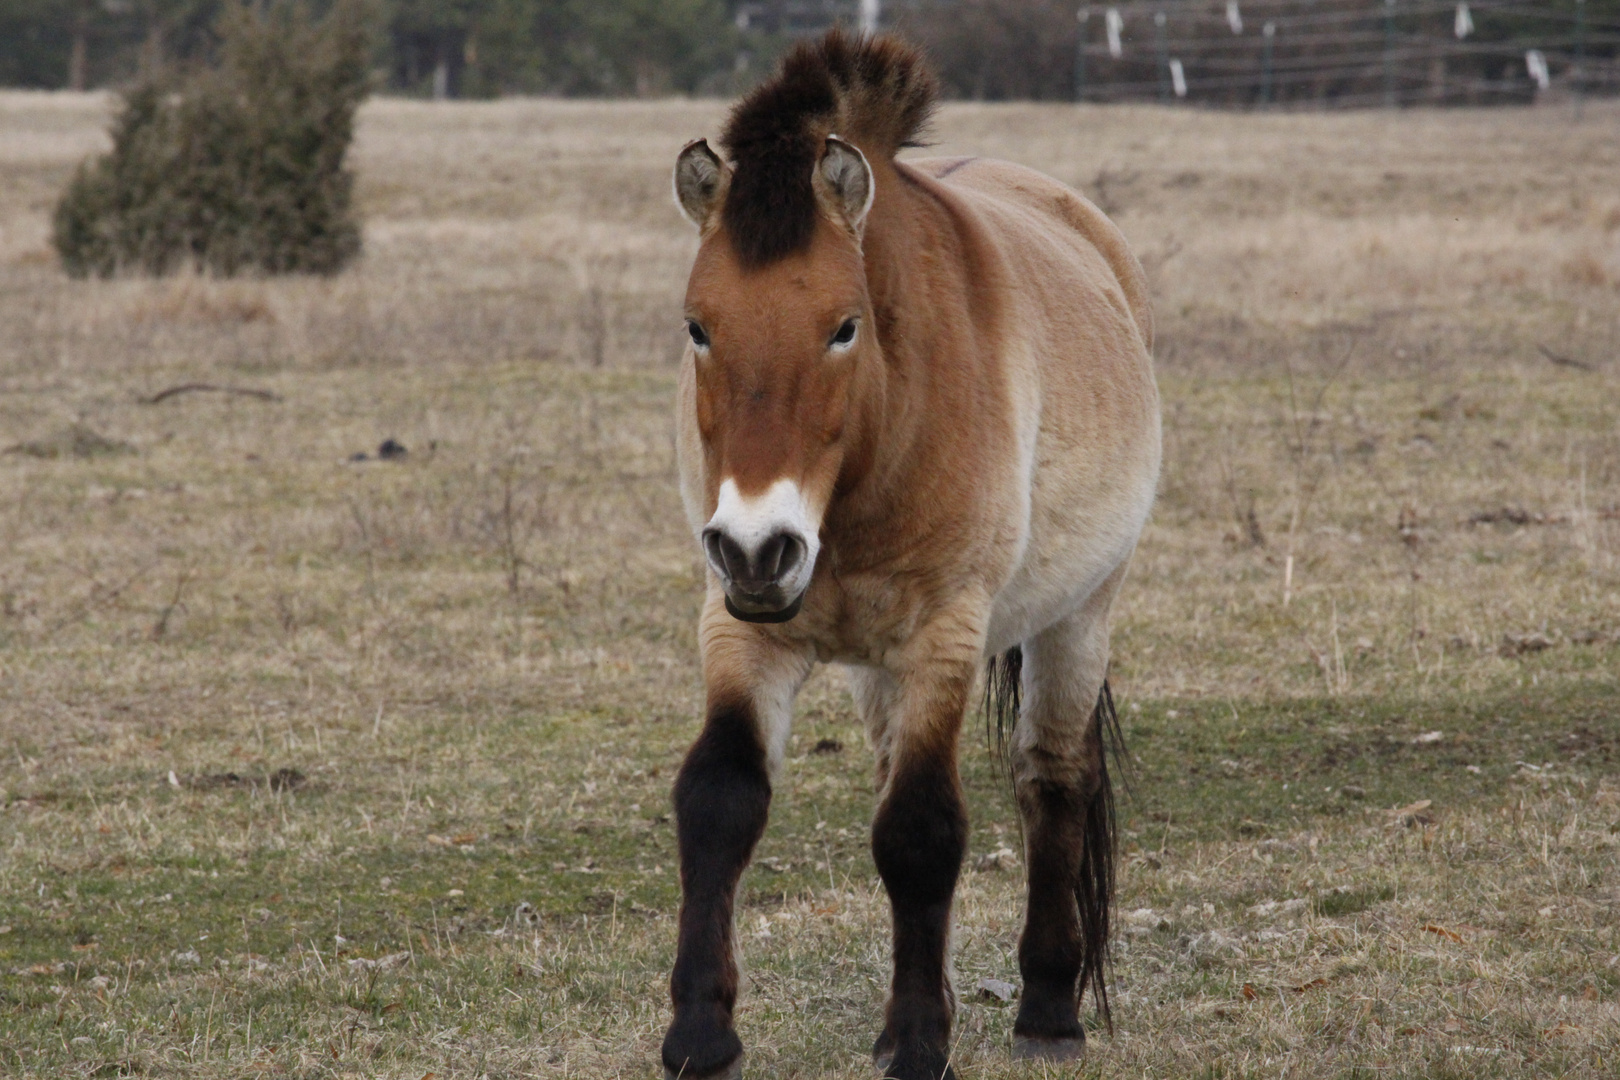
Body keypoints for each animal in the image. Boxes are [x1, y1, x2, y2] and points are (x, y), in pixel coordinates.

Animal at [664, 29, 1159, 1075]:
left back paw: (1047, 1009)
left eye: (843, 327)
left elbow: (924, 831)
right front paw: (701, 1033)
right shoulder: (740, 624)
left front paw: (925, 1041)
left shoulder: (945, 632)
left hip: (1079, 612)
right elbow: (720, 798)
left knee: (1051, 779)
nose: (761, 547)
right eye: (698, 326)